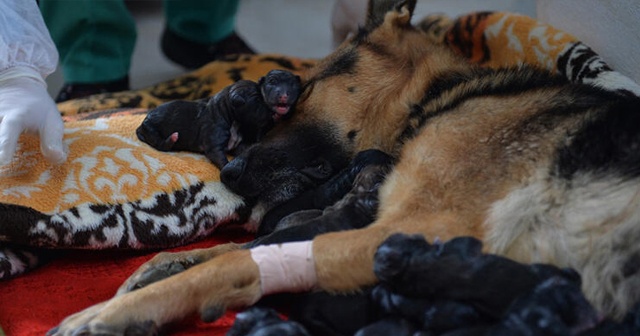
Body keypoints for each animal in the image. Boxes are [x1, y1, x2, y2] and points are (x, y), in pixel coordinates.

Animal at [134, 69, 302, 169]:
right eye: (258, 102)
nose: (273, 114)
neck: (232, 119)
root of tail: (141, 124)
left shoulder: (236, 145)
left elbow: (243, 148)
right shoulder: (213, 146)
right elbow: (221, 158)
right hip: (153, 130)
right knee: (161, 144)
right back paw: (172, 139)